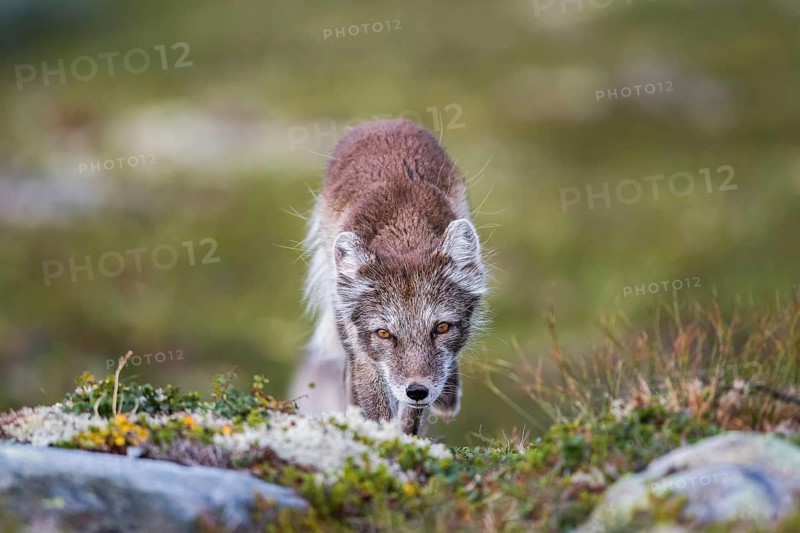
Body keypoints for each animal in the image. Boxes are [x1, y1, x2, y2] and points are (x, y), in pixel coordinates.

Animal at [289, 119, 487, 435]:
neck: (404, 229)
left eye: (442, 327)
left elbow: (412, 415)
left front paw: (407, 438)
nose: (417, 390)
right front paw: (380, 439)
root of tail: (383, 121)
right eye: (383, 333)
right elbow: (376, 407)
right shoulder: (364, 350)